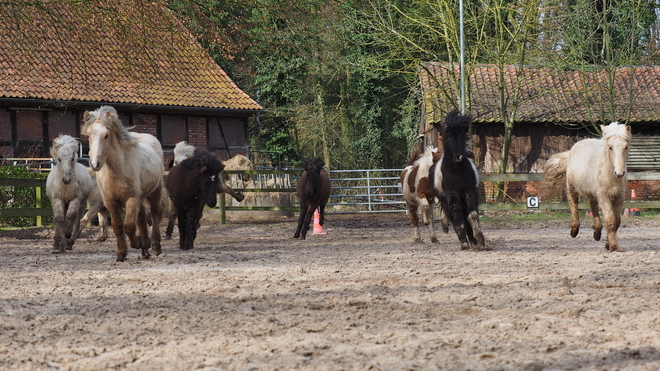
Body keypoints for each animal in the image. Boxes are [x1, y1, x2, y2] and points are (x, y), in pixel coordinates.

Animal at [82, 104, 165, 262]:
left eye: (106, 135)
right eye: (88, 136)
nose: (95, 164)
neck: (117, 170)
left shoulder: (131, 198)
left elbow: (129, 226)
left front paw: (137, 243)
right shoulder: (111, 203)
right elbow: (118, 227)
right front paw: (121, 254)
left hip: (154, 192)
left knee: (156, 215)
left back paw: (155, 247)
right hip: (140, 197)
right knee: (142, 218)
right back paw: (145, 249)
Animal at [434, 109, 484, 251]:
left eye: (462, 135)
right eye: (449, 135)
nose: (459, 156)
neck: (457, 171)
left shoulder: (469, 191)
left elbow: (472, 215)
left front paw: (480, 240)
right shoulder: (452, 193)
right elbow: (457, 216)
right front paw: (464, 243)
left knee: (466, 218)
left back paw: (473, 241)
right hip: (445, 202)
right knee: (454, 217)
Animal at [544, 122, 632, 253]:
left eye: (625, 146)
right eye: (610, 147)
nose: (619, 173)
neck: (610, 174)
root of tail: (571, 150)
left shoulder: (618, 197)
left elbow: (617, 222)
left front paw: (608, 244)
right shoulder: (604, 197)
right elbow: (610, 221)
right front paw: (612, 246)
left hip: (593, 193)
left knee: (593, 206)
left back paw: (597, 233)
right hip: (572, 187)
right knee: (573, 204)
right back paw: (574, 230)